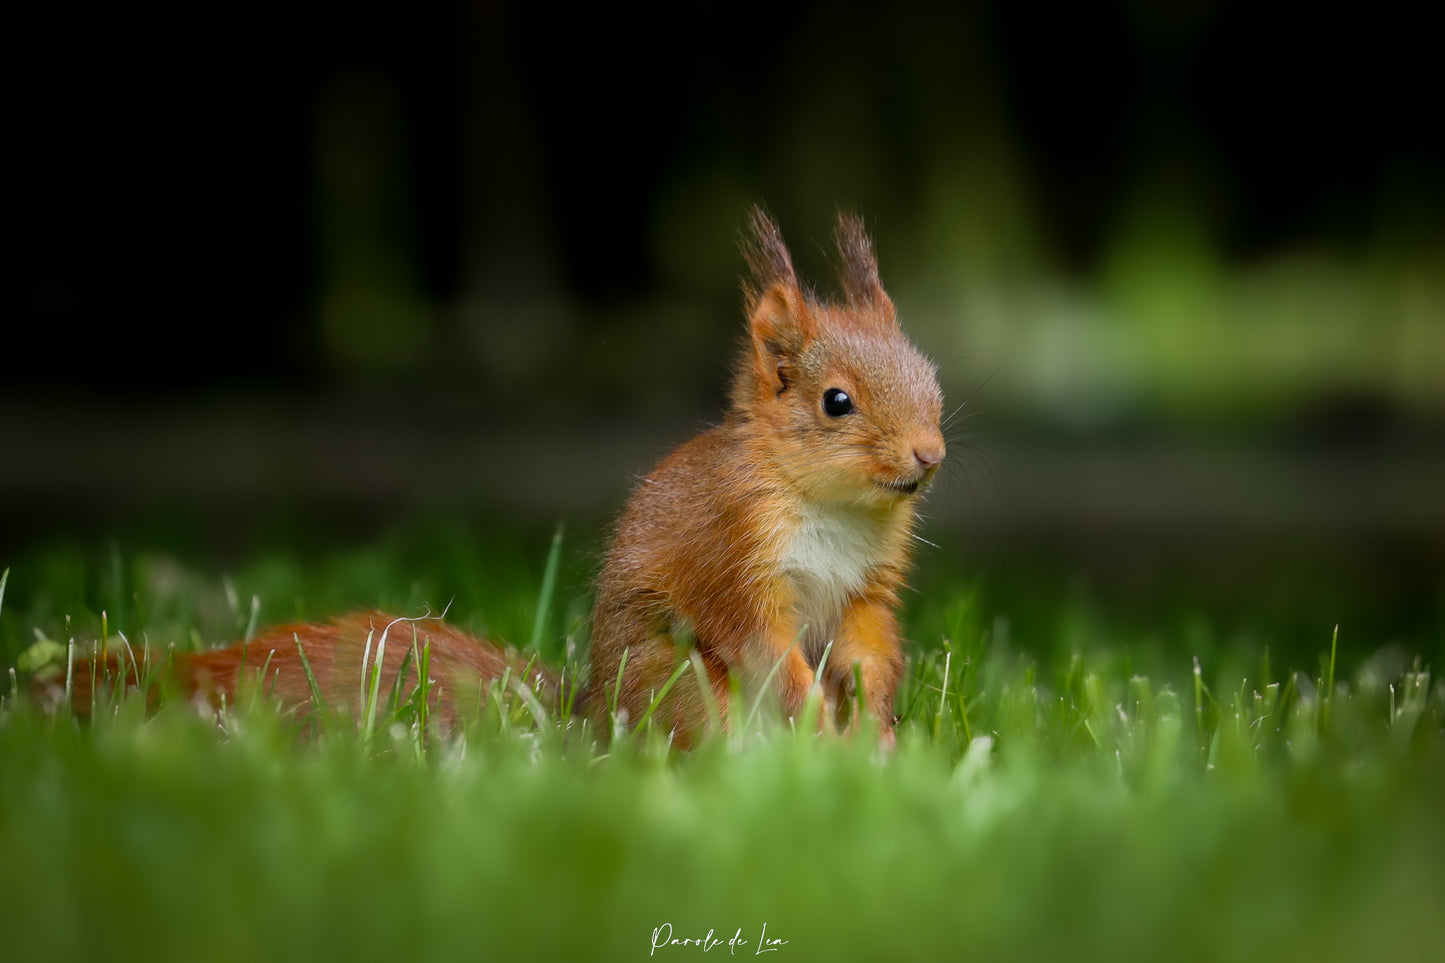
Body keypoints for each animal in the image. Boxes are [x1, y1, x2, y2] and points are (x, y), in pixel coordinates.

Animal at [56, 209, 942, 746]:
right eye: (835, 402)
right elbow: (763, 644)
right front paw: (822, 719)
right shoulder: (732, 552)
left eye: (929, 374)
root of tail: (585, 720)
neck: (832, 506)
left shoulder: (869, 582)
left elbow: (867, 641)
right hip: (675, 681)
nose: (928, 455)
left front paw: (874, 722)